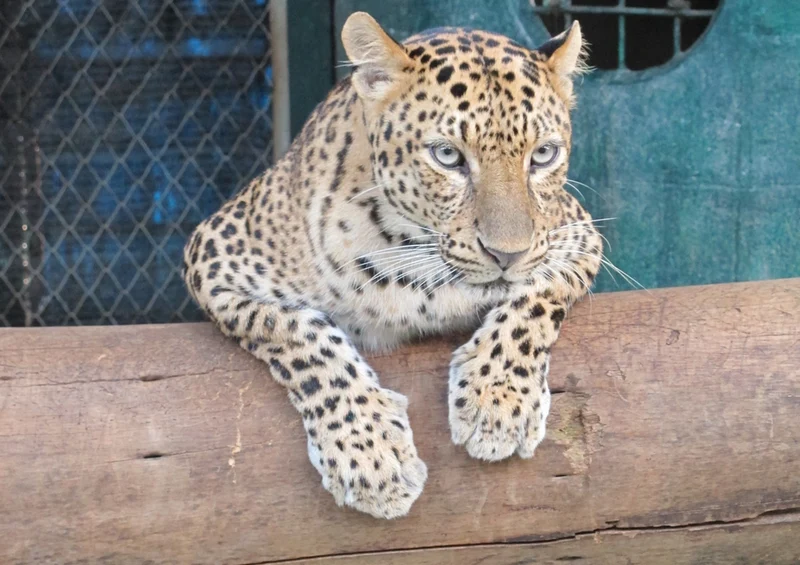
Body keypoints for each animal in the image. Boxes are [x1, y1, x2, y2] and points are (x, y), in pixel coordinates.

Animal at [183, 12, 602, 519]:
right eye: (447, 155)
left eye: (543, 155)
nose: (507, 254)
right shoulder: (213, 255)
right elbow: (296, 332)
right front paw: (369, 452)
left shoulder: (577, 234)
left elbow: (536, 298)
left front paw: (497, 400)